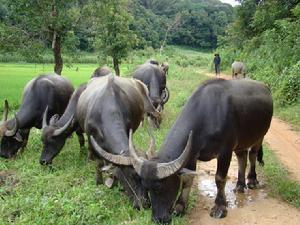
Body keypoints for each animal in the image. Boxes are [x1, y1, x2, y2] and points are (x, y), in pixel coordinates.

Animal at [75, 74, 159, 208]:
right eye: (131, 176)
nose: (144, 204)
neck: (107, 109)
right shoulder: (91, 139)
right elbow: (98, 163)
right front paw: (99, 182)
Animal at [97, 78, 274, 222]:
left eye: (161, 187)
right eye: (145, 187)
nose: (158, 219)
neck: (208, 114)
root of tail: (265, 88)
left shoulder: (225, 151)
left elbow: (219, 178)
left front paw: (220, 207)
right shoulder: (192, 154)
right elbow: (188, 179)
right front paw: (180, 207)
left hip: (260, 136)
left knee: (252, 155)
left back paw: (252, 181)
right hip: (241, 142)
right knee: (242, 157)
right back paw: (240, 185)